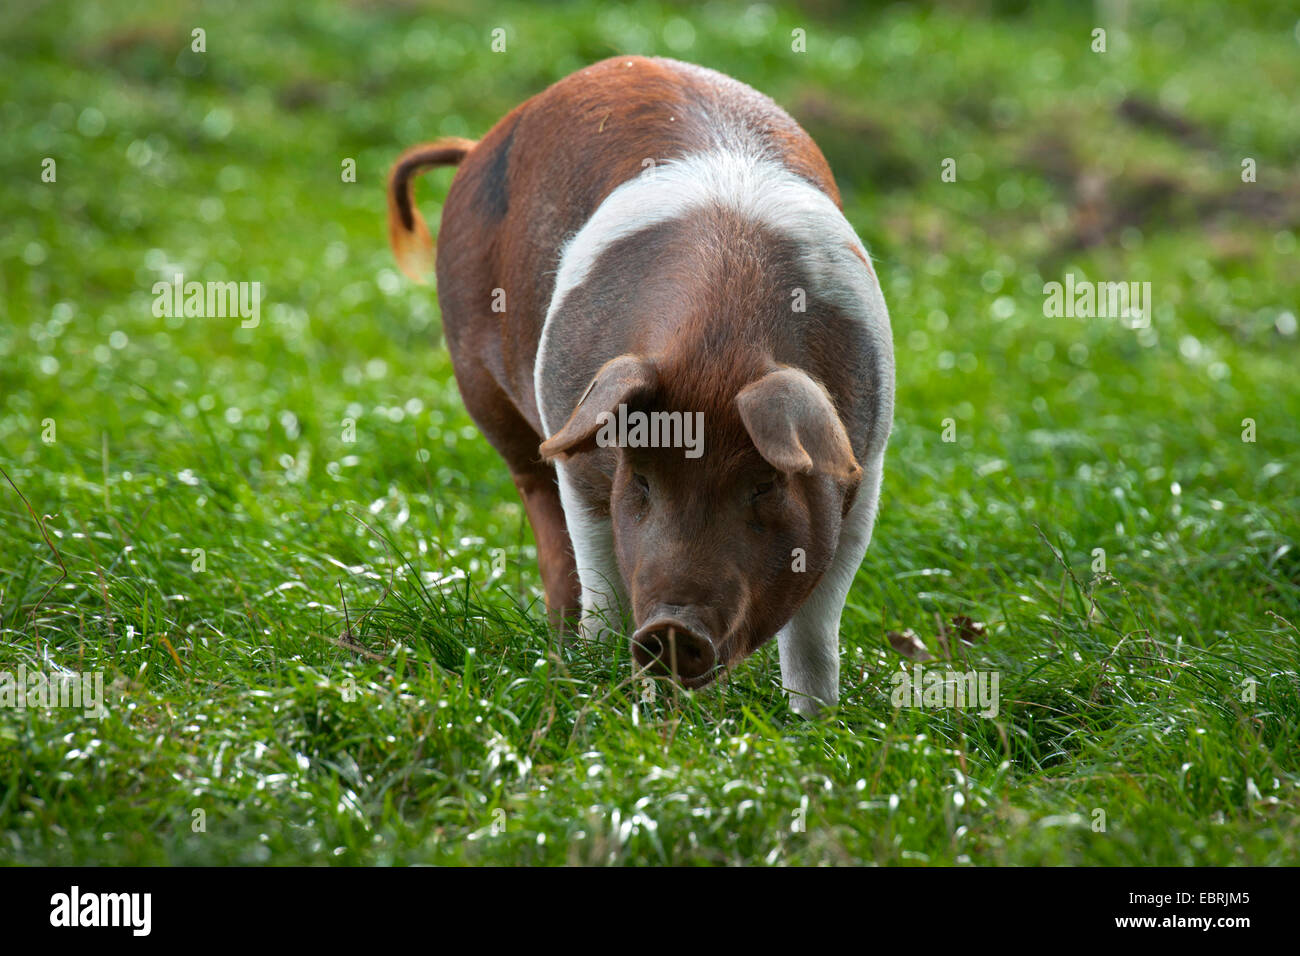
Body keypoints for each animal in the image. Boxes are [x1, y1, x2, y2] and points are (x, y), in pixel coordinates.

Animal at [384, 55, 894, 712]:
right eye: (644, 480)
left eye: (764, 485)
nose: (673, 630)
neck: (720, 342)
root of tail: (479, 144)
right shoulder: (580, 444)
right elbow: (604, 584)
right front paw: (628, 701)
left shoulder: (866, 465)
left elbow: (816, 630)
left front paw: (816, 722)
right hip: (487, 393)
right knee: (544, 516)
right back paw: (562, 650)